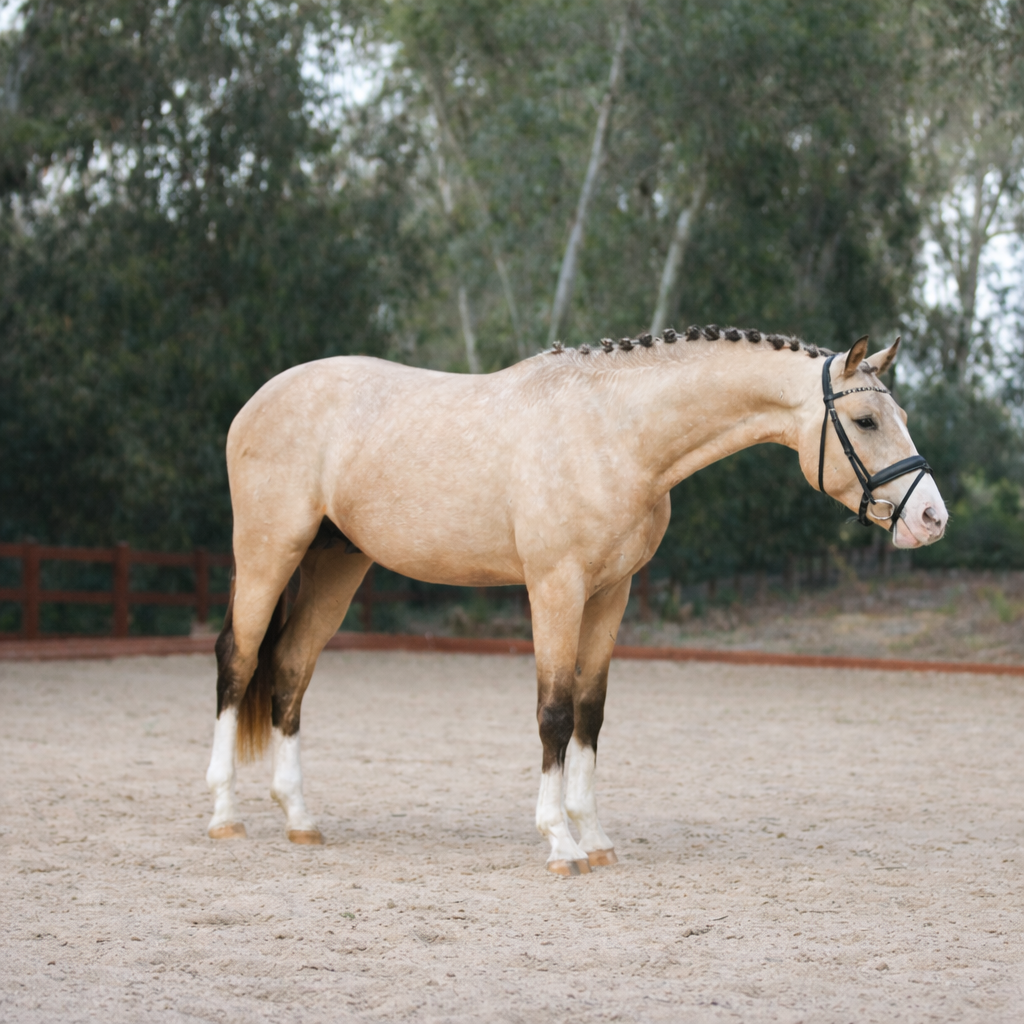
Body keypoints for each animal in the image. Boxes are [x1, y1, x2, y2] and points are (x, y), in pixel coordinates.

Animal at [205, 327, 947, 876]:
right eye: (865, 419)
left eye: (903, 416)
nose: (931, 518)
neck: (615, 432)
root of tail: (258, 400)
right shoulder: (555, 587)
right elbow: (555, 713)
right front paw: (560, 843)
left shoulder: (611, 593)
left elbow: (591, 712)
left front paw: (595, 837)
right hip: (269, 552)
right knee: (238, 661)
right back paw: (224, 815)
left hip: (337, 564)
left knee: (291, 669)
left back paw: (300, 820)